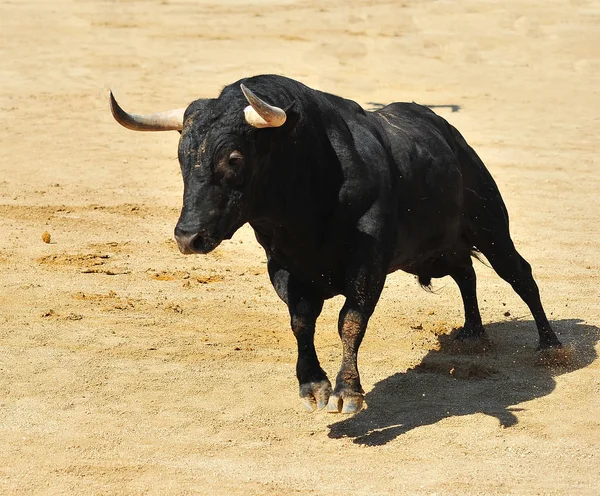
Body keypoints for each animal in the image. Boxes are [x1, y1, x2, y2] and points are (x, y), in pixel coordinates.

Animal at [110, 73, 560, 414]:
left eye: (234, 158)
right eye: (182, 158)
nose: (188, 237)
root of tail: (451, 135)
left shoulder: (368, 265)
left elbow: (350, 321)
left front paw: (347, 391)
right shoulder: (284, 265)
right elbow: (301, 321)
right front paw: (313, 385)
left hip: (490, 227)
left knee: (520, 275)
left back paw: (551, 346)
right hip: (435, 249)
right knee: (466, 273)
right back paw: (472, 332)